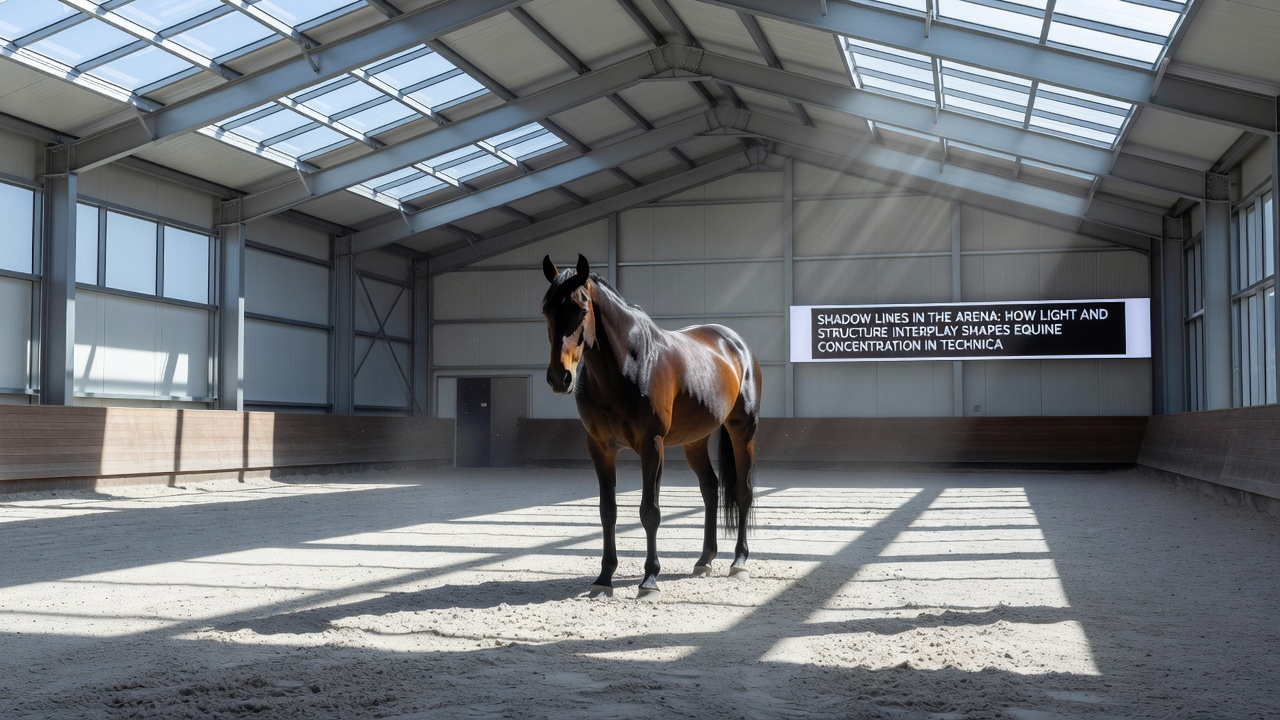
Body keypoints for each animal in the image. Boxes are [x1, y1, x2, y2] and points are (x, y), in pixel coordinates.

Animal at [541, 254, 761, 599]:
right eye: (547, 310)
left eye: (582, 309)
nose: (559, 377)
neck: (629, 363)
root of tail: (736, 344)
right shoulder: (600, 447)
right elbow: (608, 511)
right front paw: (604, 578)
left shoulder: (652, 445)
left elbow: (650, 512)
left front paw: (650, 579)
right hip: (695, 442)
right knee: (710, 490)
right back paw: (704, 560)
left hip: (743, 431)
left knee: (743, 492)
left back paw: (739, 561)